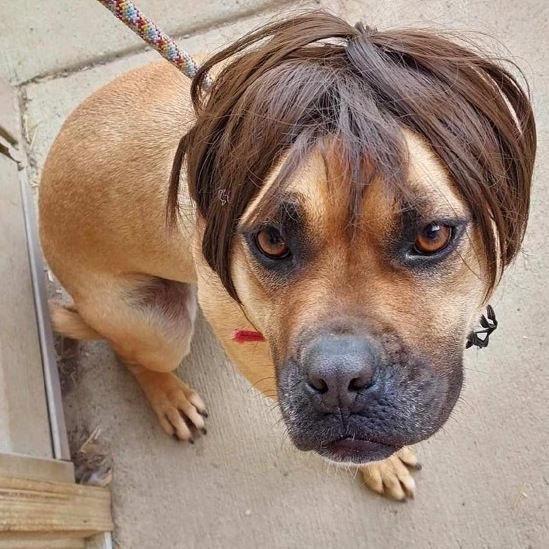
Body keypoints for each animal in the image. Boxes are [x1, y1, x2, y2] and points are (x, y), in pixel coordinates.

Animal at [38, 11, 536, 500]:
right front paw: (383, 464)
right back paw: (169, 397)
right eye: (271, 240)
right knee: (131, 356)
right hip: (160, 325)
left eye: (432, 235)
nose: (339, 382)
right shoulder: (260, 362)